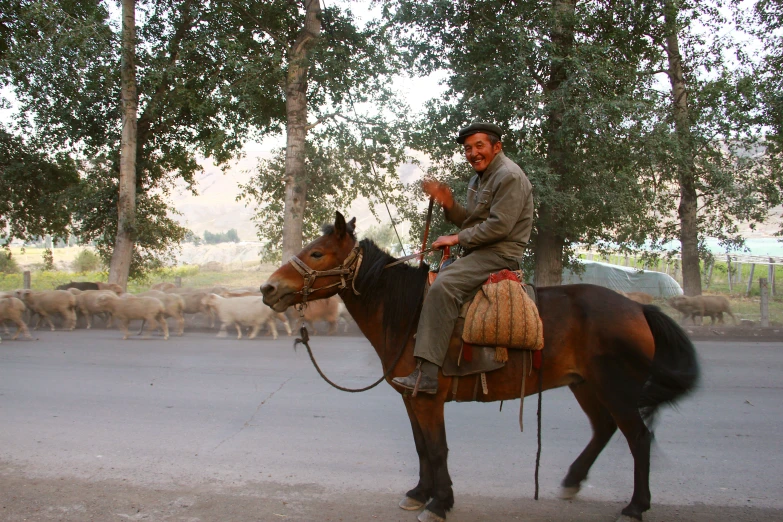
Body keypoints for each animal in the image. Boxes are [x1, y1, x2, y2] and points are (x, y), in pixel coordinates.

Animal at [260, 211, 700, 520]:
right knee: (605, 428)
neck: (410, 315)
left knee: (638, 438)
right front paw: (420, 493)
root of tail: (638, 309)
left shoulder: (427, 399)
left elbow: (437, 448)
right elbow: (421, 447)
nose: (268, 288)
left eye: (317, 253)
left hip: (615, 388)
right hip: (585, 385)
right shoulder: (411, 397)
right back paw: (573, 481)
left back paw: (636, 506)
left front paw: (440, 503)